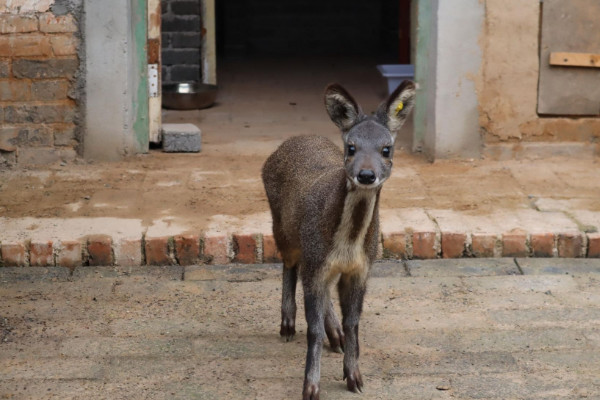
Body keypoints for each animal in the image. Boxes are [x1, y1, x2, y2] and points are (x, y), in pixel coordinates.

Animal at [260, 80, 414, 396]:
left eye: (386, 149)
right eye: (351, 147)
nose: (366, 174)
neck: (348, 244)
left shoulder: (361, 269)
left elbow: (353, 322)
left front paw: (354, 376)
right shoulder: (316, 258)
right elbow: (313, 329)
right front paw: (310, 387)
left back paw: (336, 337)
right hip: (283, 229)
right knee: (288, 265)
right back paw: (287, 324)